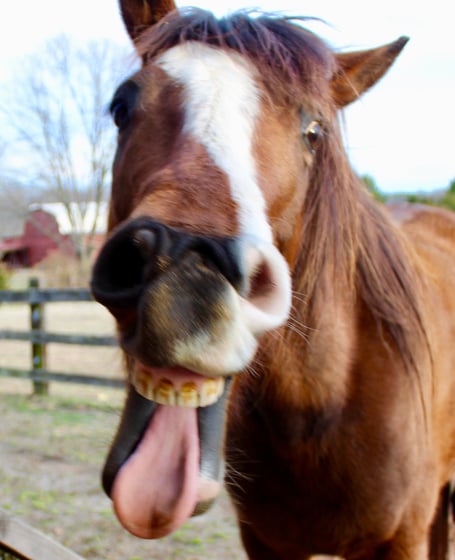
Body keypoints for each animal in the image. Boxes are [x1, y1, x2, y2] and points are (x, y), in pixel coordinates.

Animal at [91, 2, 455, 556]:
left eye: (314, 131)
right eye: (121, 107)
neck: (318, 410)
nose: (188, 272)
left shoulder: (403, 538)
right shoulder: (266, 540)